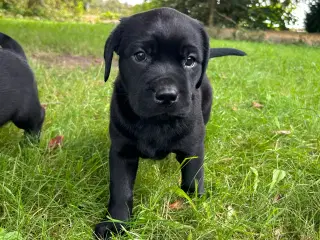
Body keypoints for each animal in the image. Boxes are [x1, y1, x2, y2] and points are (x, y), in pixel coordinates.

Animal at [94, 7, 245, 238]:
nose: (166, 95)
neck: (157, 123)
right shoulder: (122, 152)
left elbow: (193, 179)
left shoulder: (193, 148)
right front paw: (116, 224)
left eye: (190, 60)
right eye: (140, 55)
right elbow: (121, 189)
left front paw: (197, 207)